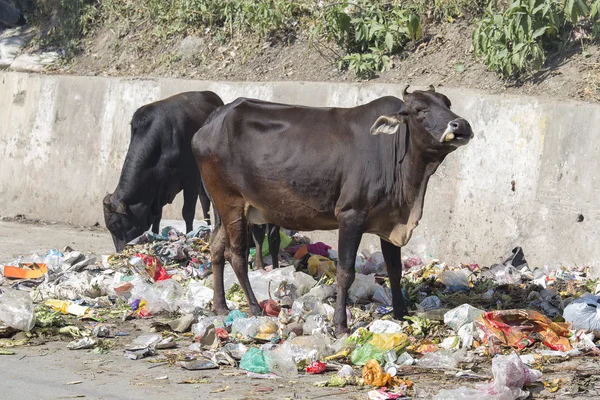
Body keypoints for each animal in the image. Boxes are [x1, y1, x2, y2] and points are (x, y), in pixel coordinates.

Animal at [104, 92, 224, 252]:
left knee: (207, 201)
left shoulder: (190, 178)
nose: (120, 251)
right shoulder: (158, 189)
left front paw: (189, 235)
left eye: (115, 225)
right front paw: (155, 235)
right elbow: (157, 216)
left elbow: (187, 212)